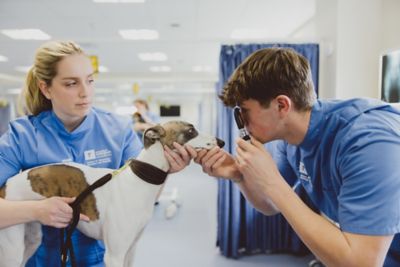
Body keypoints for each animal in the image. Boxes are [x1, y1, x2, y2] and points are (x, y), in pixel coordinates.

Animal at [0, 122, 223, 267]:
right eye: (191, 130)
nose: (222, 142)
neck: (139, 180)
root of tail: (6, 185)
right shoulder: (115, 254)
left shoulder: (131, 250)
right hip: (13, 249)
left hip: (31, 239)